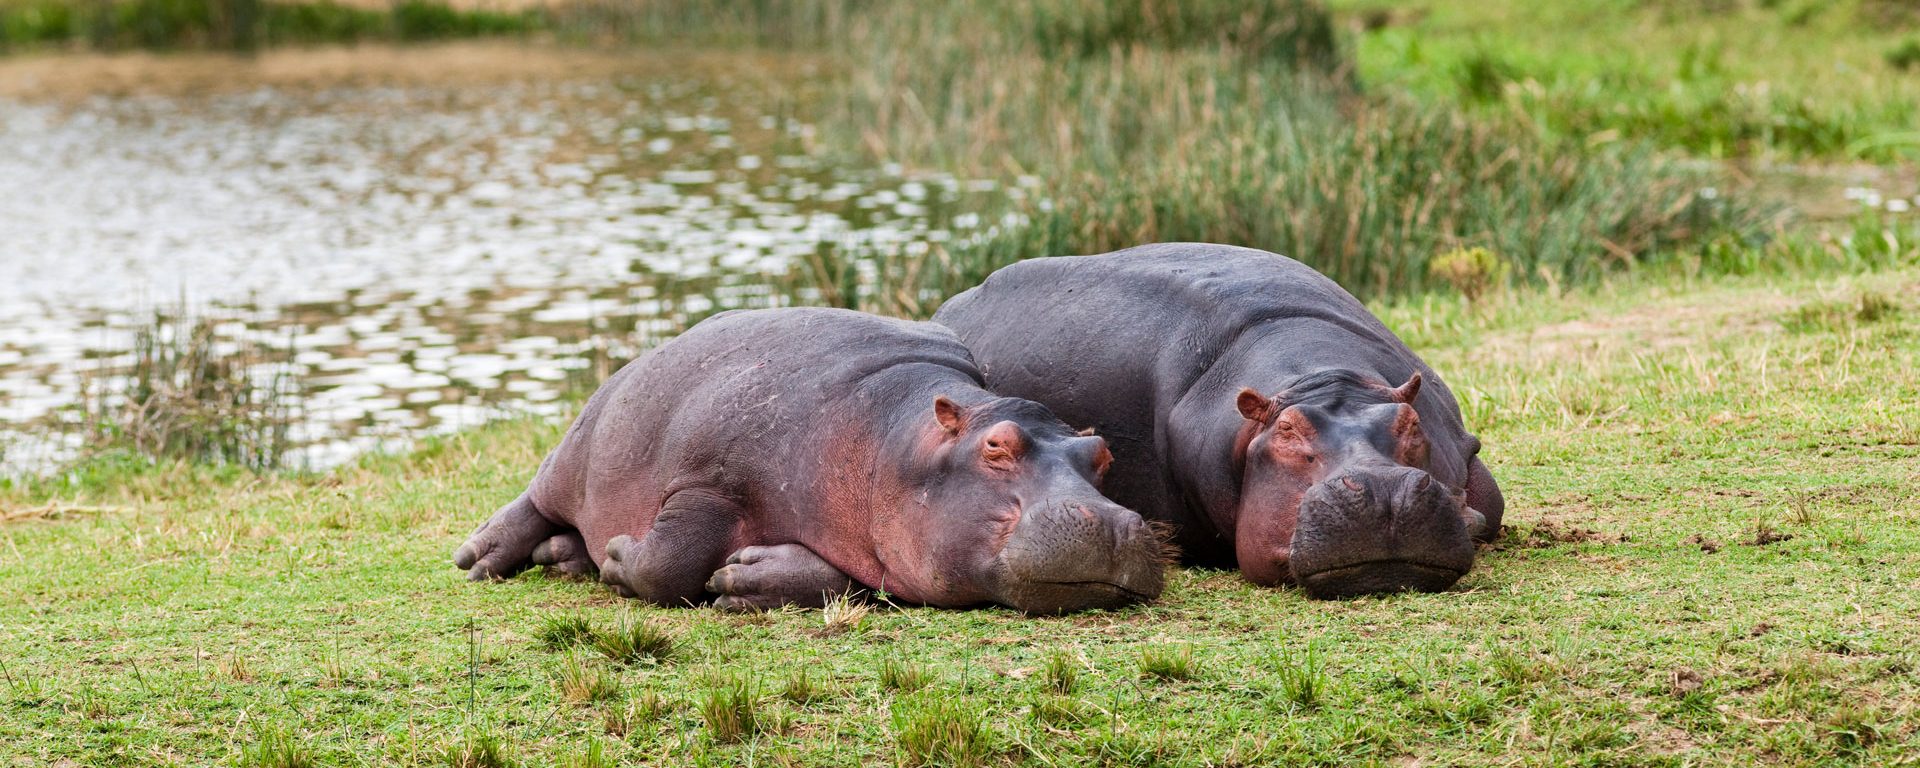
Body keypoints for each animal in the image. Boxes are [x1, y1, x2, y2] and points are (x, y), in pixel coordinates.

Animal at [455, 305, 1159, 610]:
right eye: (996, 446)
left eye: (1099, 453)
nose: (1114, 523)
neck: (892, 438)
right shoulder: (705, 481)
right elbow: (667, 563)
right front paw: (621, 556)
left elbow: (832, 579)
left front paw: (739, 580)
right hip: (579, 447)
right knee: (534, 498)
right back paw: (480, 557)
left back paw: (563, 558)